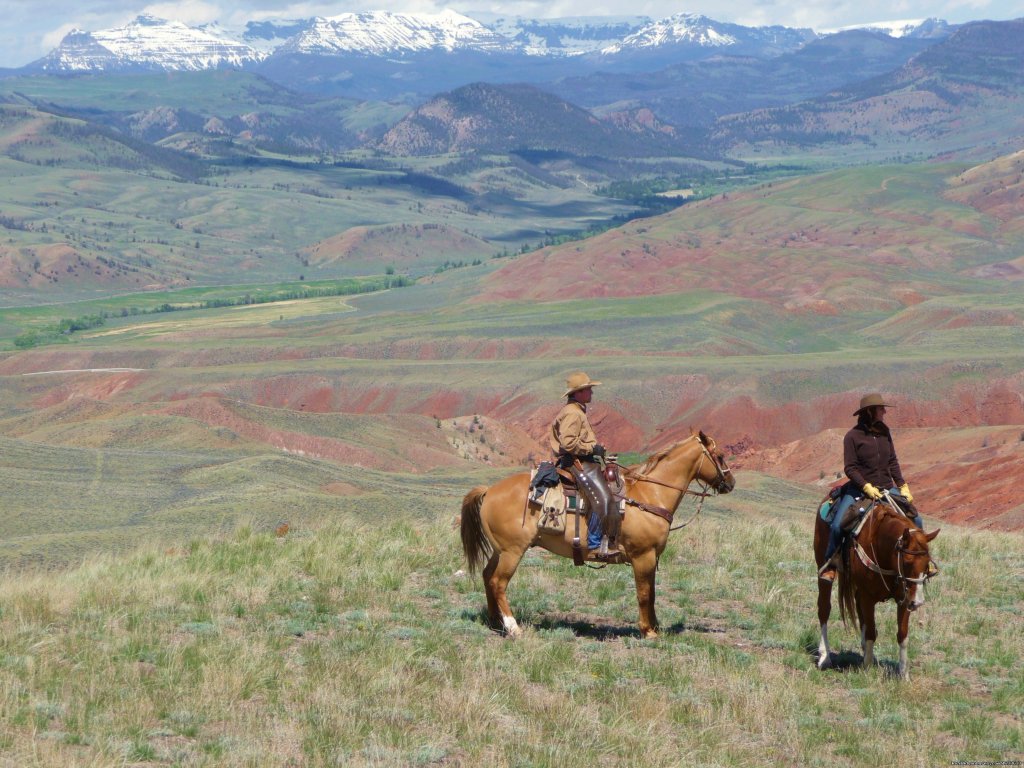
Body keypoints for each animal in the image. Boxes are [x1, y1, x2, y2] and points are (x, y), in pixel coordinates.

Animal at [460, 436, 733, 638]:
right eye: (719, 456)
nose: (730, 483)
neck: (650, 494)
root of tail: (489, 490)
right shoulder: (642, 556)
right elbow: (644, 594)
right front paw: (648, 632)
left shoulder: (651, 558)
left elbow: (652, 593)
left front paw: (654, 627)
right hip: (513, 551)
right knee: (498, 583)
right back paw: (513, 627)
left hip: (500, 550)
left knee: (487, 577)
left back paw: (495, 622)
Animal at [811, 493, 937, 679]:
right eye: (907, 562)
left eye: (927, 562)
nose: (917, 602)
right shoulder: (868, 597)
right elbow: (871, 631)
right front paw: (868, 669)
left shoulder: (903, 598)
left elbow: (902, 634)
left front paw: (903, 674)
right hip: (825, 569)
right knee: (824, 610)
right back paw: (825, 657)